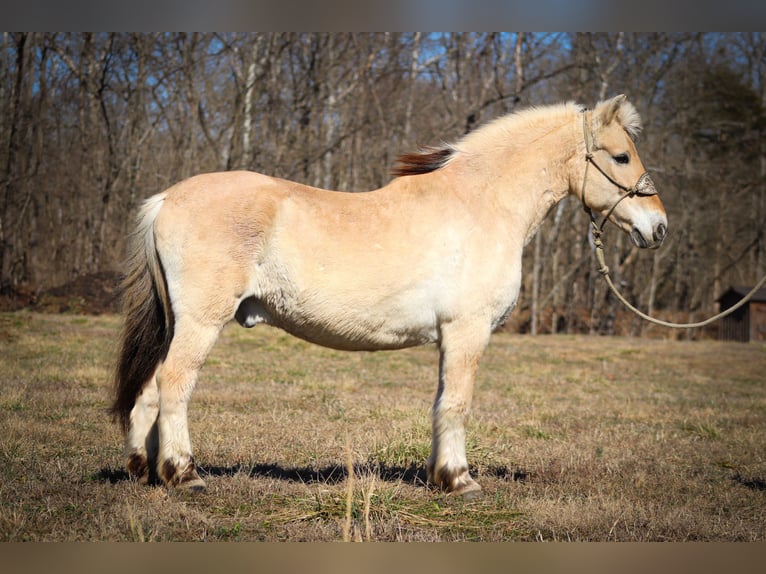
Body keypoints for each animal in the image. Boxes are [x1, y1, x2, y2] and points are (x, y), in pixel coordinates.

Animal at [111, 94, 668, 500]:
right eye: (621, 156)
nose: (658, 227)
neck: (481, 204)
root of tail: (168, 198)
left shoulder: (450, 337)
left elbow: (442, 402)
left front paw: (441, 475)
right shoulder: (467, 331)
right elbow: (459, 403)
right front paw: (461, 481)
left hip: (178, 323)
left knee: (150, 389)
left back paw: (145, 469)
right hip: (201, 322)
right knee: (175, 384)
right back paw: (184, 474)